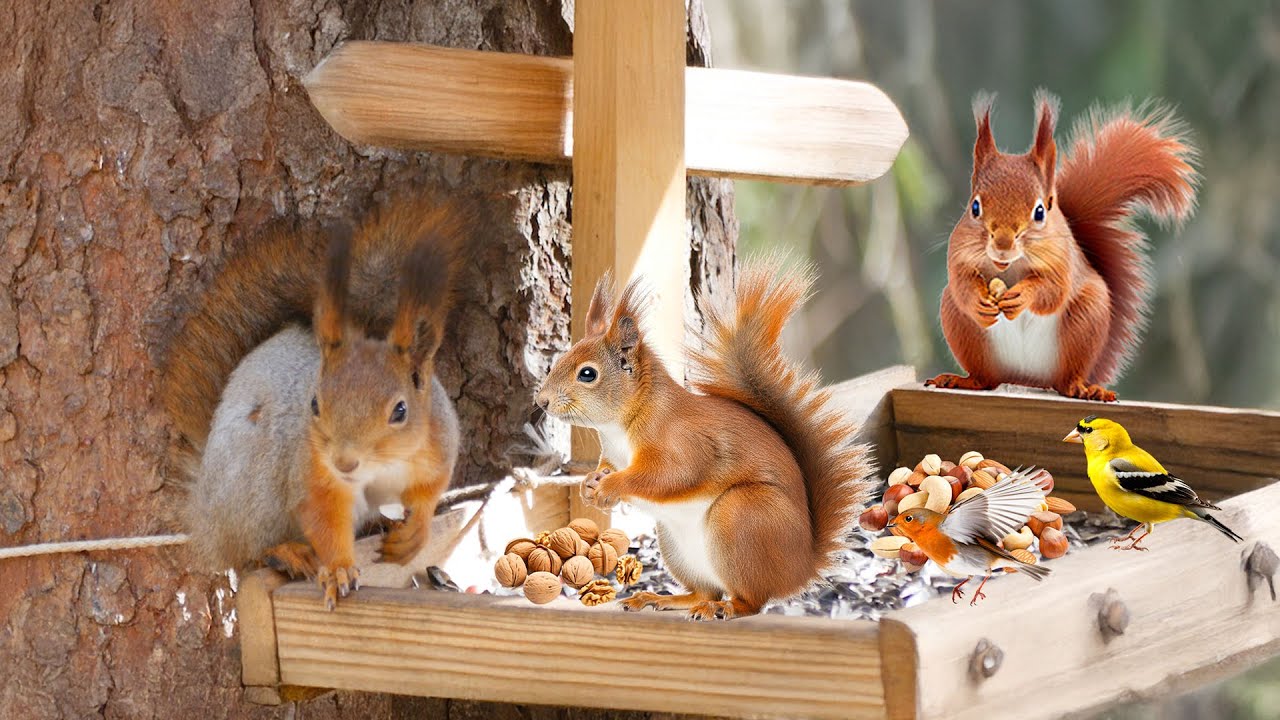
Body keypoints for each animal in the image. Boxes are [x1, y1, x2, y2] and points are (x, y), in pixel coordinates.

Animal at [165, 199, 473, 609]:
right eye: (314, 403)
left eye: (401, 410)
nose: (344, 462)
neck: (380, 467)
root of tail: (204, 508)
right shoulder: (314, 473)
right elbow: (324, 518)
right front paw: (339, 569)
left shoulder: (438, 445)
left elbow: (429, 490)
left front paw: (416, 533)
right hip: (251, 490)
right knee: (246, 552)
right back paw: (285, 552)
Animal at [535, 262, 874, 620]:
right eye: (559, 361)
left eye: (587, 374)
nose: (542, 401)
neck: (621, 427)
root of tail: (801, 567)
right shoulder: (612, 455)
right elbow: (606, 468)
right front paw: (589, 484)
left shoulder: (683, 441)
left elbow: (672, 475)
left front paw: (611, 486)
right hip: (677, 546)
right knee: (704, 590)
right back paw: (661, 599)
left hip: (741, 516)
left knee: (751, 601)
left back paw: (723, 607)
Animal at [926, 91, 1198, 402]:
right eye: (974, 207)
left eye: (1040, 211)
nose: (1003, 245)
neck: (1010, 267)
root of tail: (1026, 379)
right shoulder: (958, 253)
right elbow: (961, 282)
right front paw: (977, 301)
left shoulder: (1062, 261)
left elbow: (1053, 291)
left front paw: (1022, 295)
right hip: (961, 326)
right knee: (984, 378)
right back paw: (962, 380)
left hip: (1086, 318)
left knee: (1066, 379)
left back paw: (1083, 388)